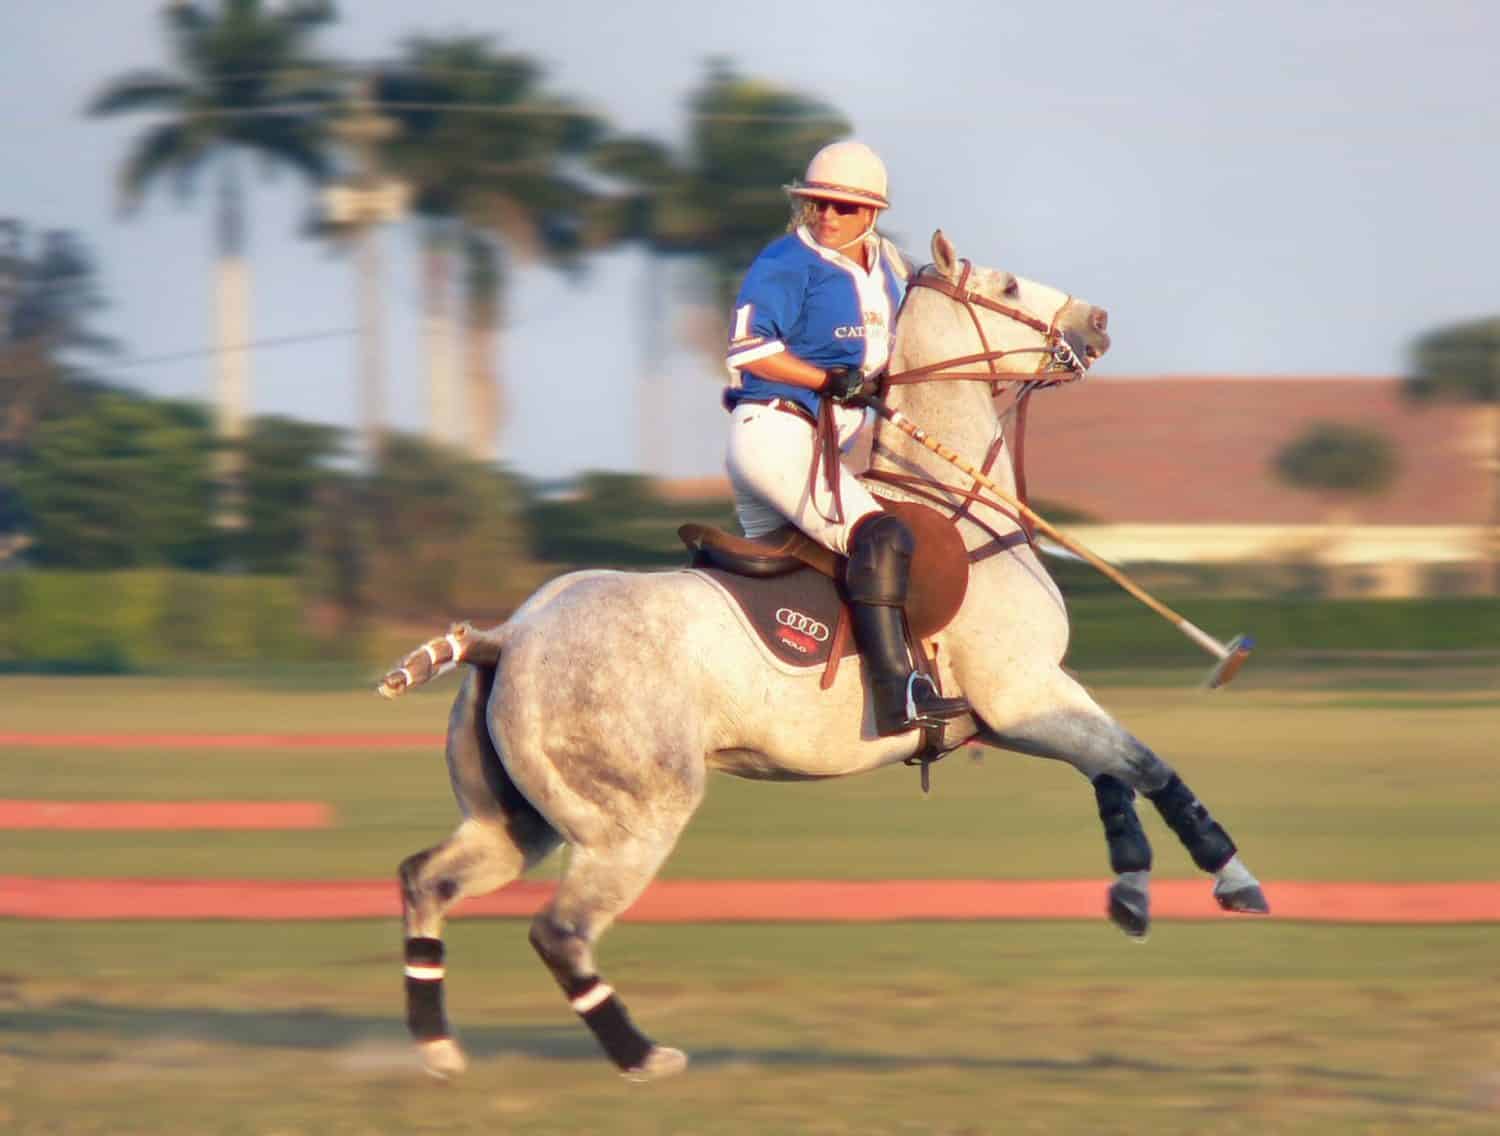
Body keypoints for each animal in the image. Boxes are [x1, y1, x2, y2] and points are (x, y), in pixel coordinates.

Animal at [378, 232, 1266, 1080]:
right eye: (1008, 285)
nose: (1097, 321)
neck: (962, 507)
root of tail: (509, 635)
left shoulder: (1012, 711)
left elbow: (1113, 769)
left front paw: (1135, 890)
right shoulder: (1022, 696)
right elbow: (1141, 762)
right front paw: (1231, 879)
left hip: (521, 818)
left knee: (427, 878)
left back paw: (438, 1048)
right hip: (631, 817)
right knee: (560, 930)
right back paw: (641, 1057)